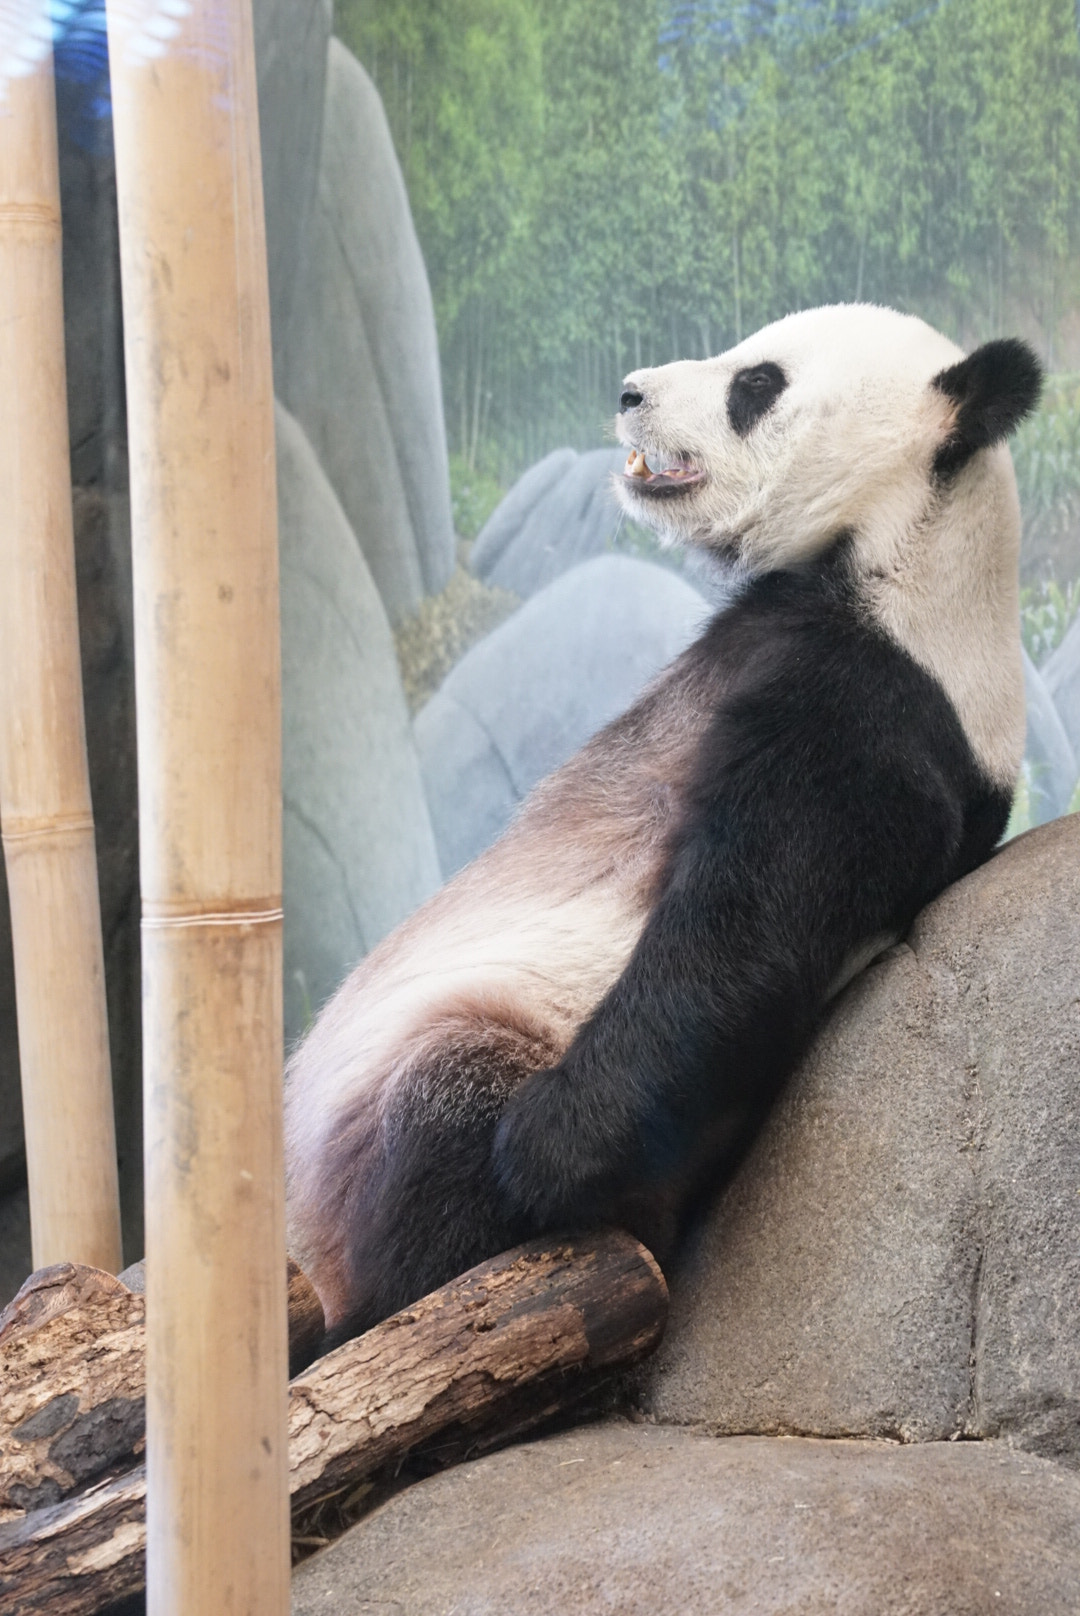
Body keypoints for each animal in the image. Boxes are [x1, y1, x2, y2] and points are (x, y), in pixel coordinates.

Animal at [282, 303, 1041, 1338]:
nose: (629, 391)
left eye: (756, 384)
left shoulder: (868, 711)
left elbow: (743, 932)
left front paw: (544, 1147)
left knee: (439, 1131)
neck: (909, 560)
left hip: (481, 1039)